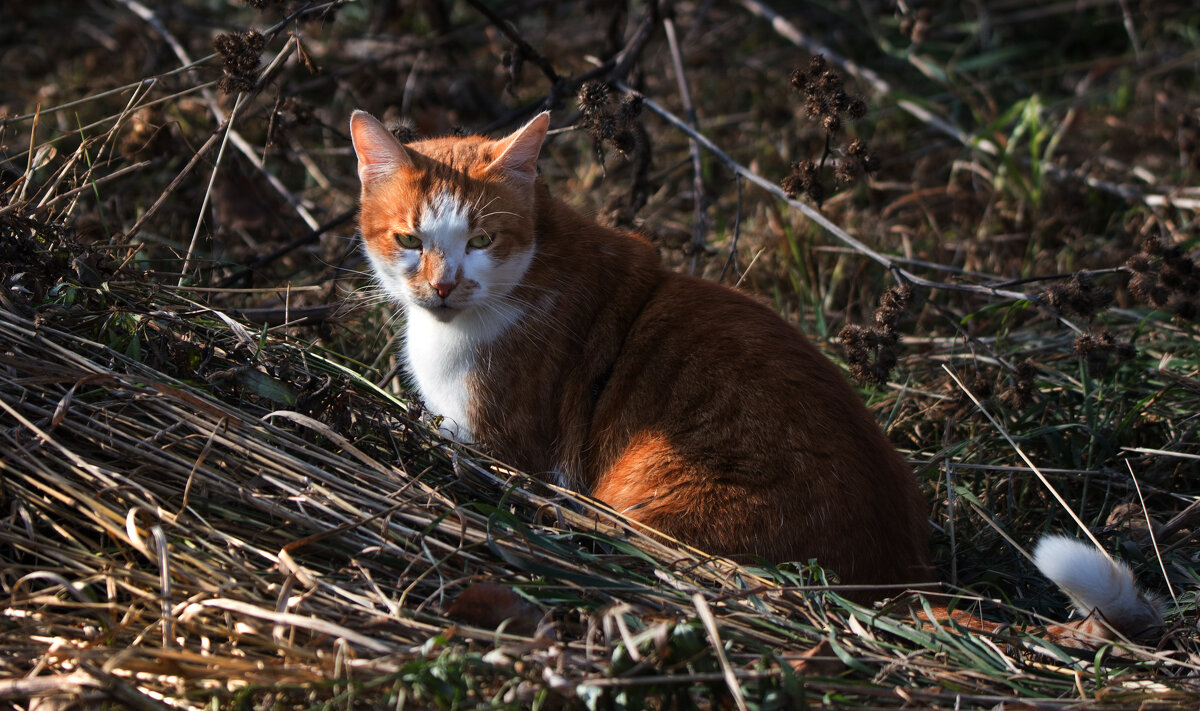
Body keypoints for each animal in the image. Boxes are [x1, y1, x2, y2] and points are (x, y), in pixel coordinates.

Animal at [348, 108, 1161, 643]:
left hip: (647, 497)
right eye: (410, 239)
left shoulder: (501, 445)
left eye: (482, 240)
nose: (443, 285)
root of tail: (895, 574)